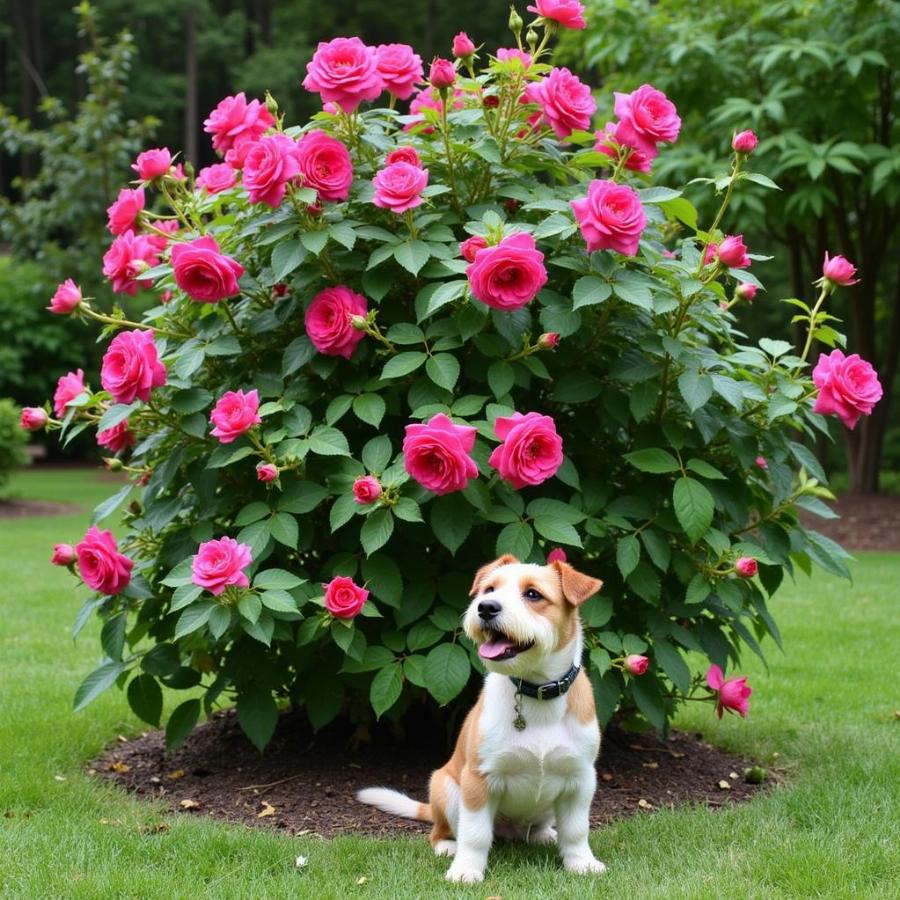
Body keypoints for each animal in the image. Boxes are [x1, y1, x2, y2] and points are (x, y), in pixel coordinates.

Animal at [356, 552, 604, 884]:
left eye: (533, 594)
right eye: (489, 589)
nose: (486, 607)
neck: (536, 695)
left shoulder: (580, 780)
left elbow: (576, 831)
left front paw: (581, 863)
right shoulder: (479, 779)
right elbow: (474, 834)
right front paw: (466, 869)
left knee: (541, 827)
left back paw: (545, 835)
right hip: (446, 787)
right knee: (444, 832)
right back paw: (448, 846)